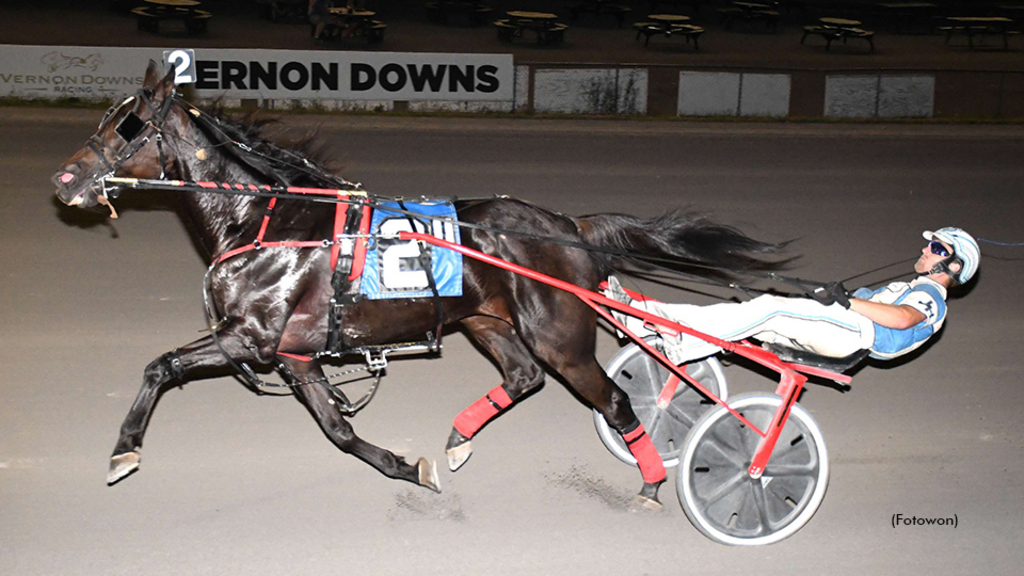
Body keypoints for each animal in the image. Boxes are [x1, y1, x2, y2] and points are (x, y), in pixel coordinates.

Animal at [49, 61, 782, 506]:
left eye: (125, 126)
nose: (64, 179)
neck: (264, 218)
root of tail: (568, 225)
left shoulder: (249, 338)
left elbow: (161, 365)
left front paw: (123, 452)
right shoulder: (292, 356)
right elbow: (338, 432)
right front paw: (410, 466)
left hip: (560, 334)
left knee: (617, 401)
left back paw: (655, 483)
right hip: (488, 322)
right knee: (523, 378)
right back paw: (458, 439)